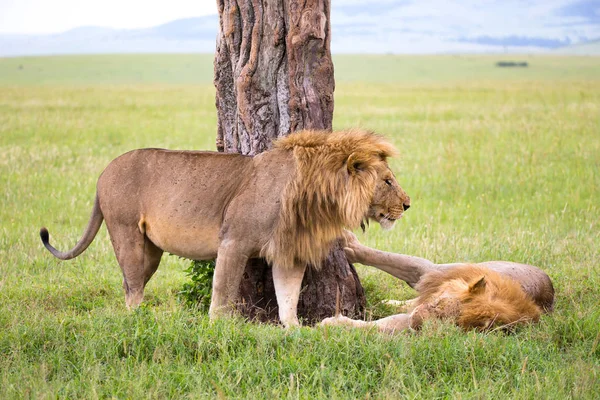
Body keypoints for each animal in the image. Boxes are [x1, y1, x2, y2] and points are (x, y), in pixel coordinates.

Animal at [39, 130, 410, 326]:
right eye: (388, 181)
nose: (407, 205)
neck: (317, 196)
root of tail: (102, 174)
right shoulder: (233, 240)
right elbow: (223, 291)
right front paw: (216, 328)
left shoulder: (288, 252)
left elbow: (288, 296)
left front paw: (295, 331)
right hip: (125, 230)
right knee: (132, 287)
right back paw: (136, 321)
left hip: (150, 251)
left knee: (132, 281)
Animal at [322, 231, 556, 332]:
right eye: (439, 304)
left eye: (450, 323)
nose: (417, 323)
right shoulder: (430, 271)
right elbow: (391, 258)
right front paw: (347, 241)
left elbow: (378, 326)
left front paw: (334, 324)